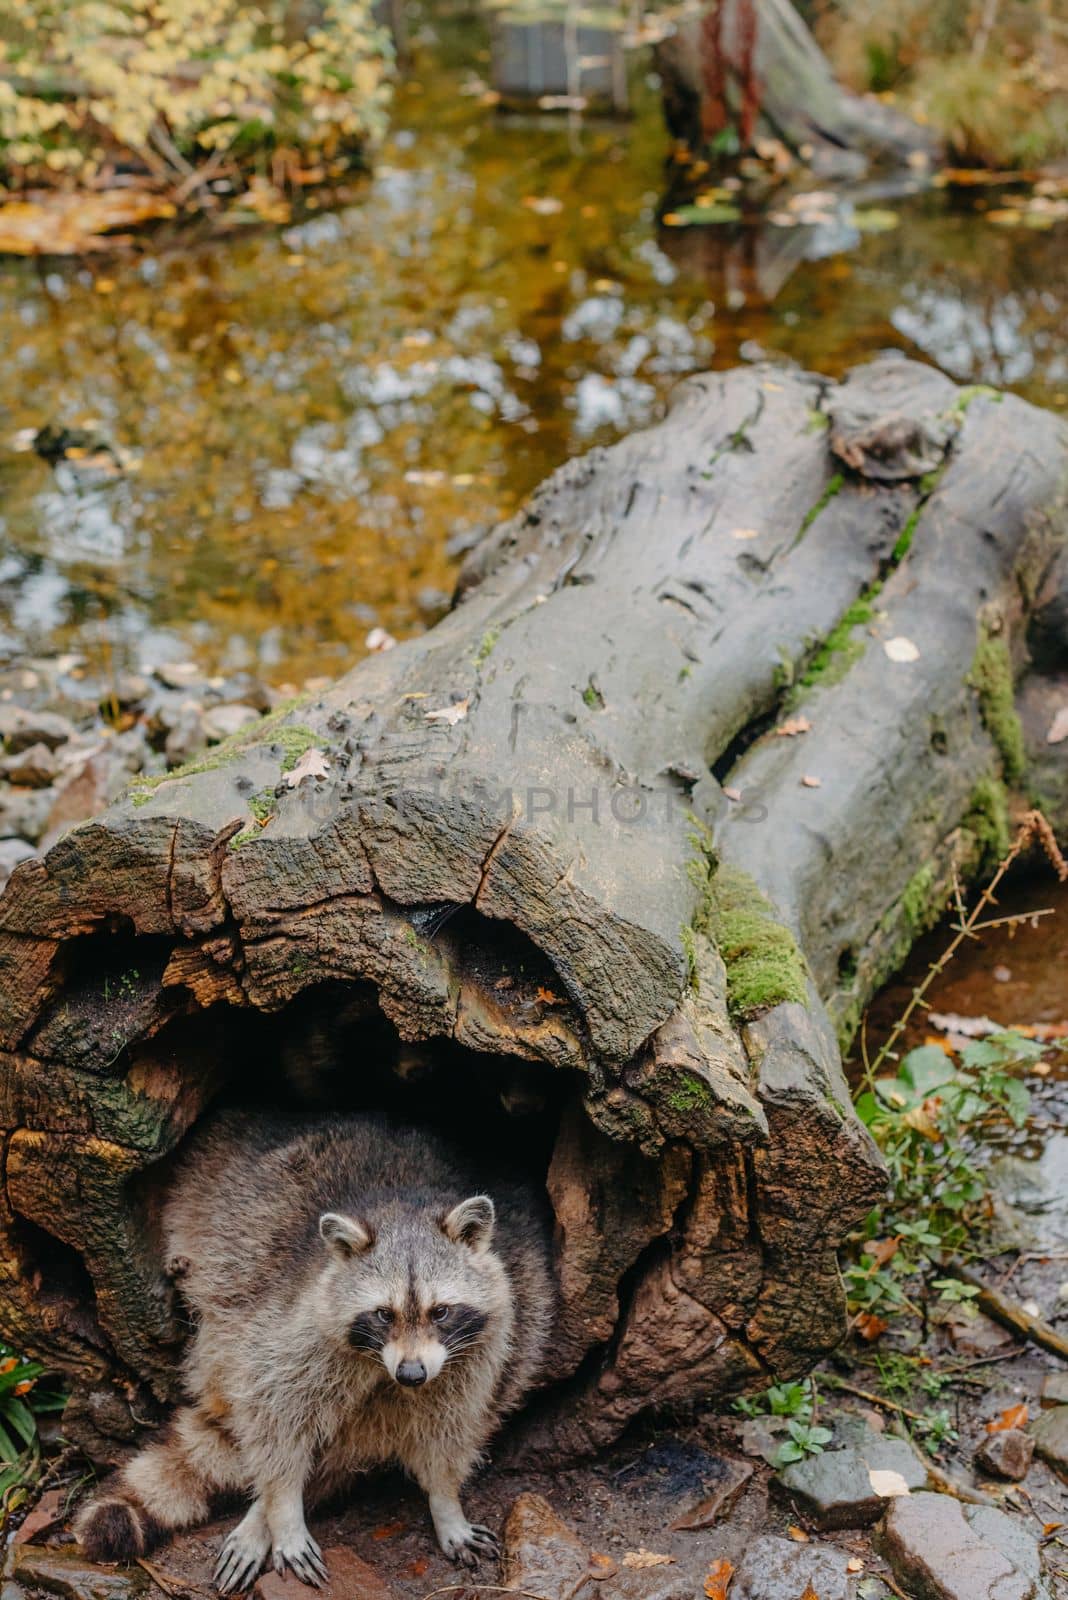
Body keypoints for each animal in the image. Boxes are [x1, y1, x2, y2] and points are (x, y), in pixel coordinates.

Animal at [73, 1113, 556, 1587]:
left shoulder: (478, 1352)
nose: (411, 1375)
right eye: (383, 1314)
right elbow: (274, 1413)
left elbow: (450, 1429)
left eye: (441, 1312)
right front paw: (281, 1510)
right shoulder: (293, 1326)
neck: (404, 1207)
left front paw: (445, 1502)